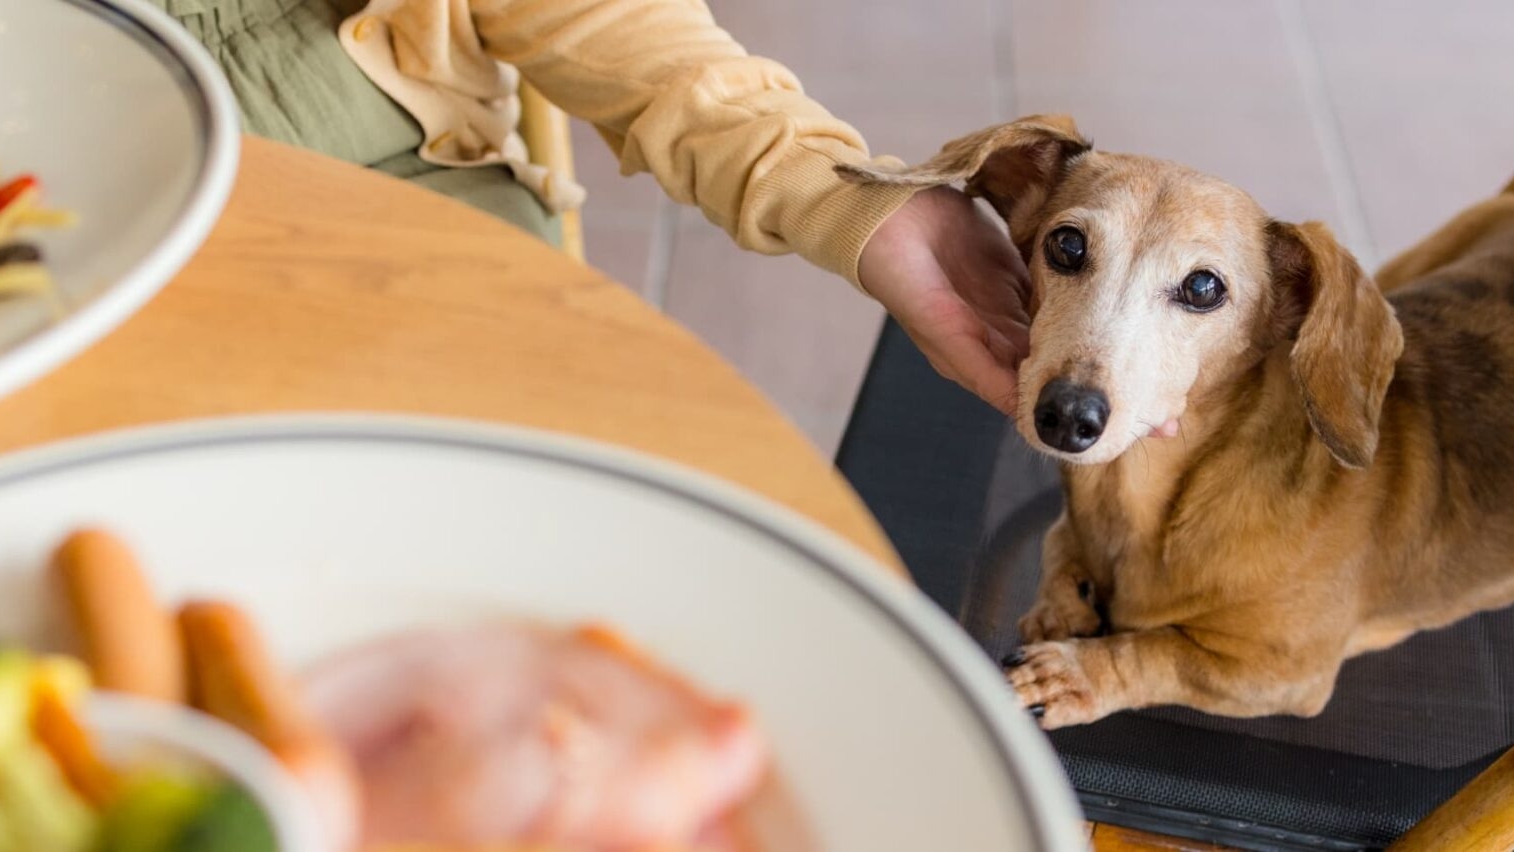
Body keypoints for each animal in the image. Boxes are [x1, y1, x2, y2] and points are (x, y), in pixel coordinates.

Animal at [835, 116, 1514, 732]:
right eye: (1067, 245)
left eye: (1204, 287)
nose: (1068, 417)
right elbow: (1060, 547)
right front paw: (1063, 606)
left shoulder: (1281, 671)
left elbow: (1161, 651)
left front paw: (1074, 670)